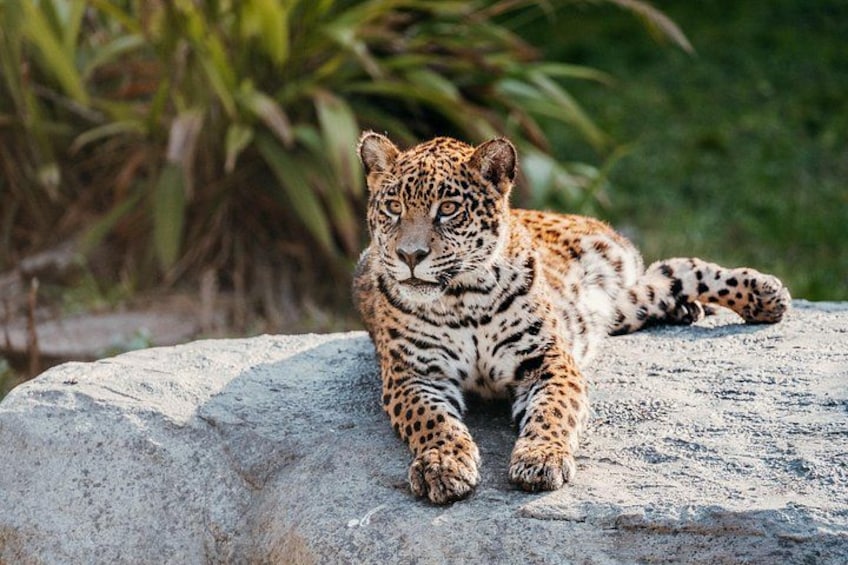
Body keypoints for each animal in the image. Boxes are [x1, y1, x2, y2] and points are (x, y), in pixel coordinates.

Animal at [352, 132, 791, 505]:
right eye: (393, 208)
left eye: (448, 210)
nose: (410, 255)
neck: (463, 299)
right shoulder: (412, 375)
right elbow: (433, 422)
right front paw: (443, 464)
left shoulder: (549, 361)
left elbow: (552, 411)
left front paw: (541, 458)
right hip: (621, 305)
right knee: (664, 281)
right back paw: (686, 308)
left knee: (686, 266)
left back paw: (766, 294)